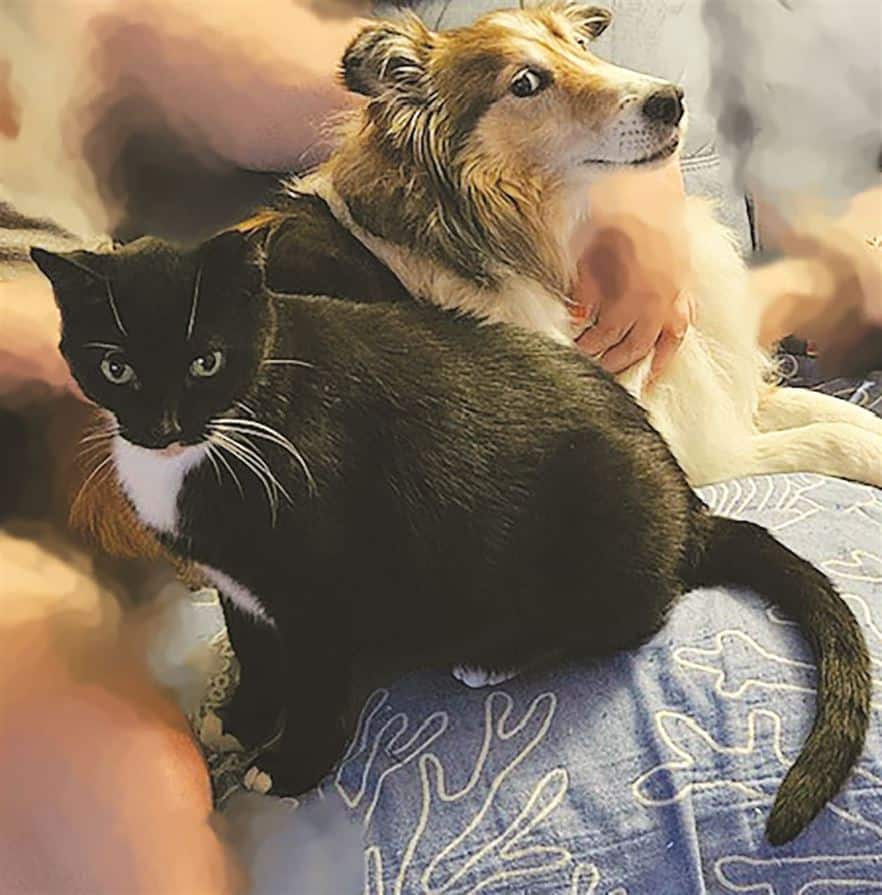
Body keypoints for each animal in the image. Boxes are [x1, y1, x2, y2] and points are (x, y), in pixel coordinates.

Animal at [32, 231, 868, 848]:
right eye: (115, 366)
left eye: (206, 360)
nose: (161, 426)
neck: (232, 427)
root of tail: (689, 504)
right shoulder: (242, 588)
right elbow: (258, 652)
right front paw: (239, 719)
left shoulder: (331, 590)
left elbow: (318, 683)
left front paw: (292, 763)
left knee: (635, 617)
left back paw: (495, 657)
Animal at [298, 0, 880, 490]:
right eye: (526, 82)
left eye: (579, 46)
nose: (671, 100)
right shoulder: (689, 450)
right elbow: (824, 437)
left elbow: (823, 407)